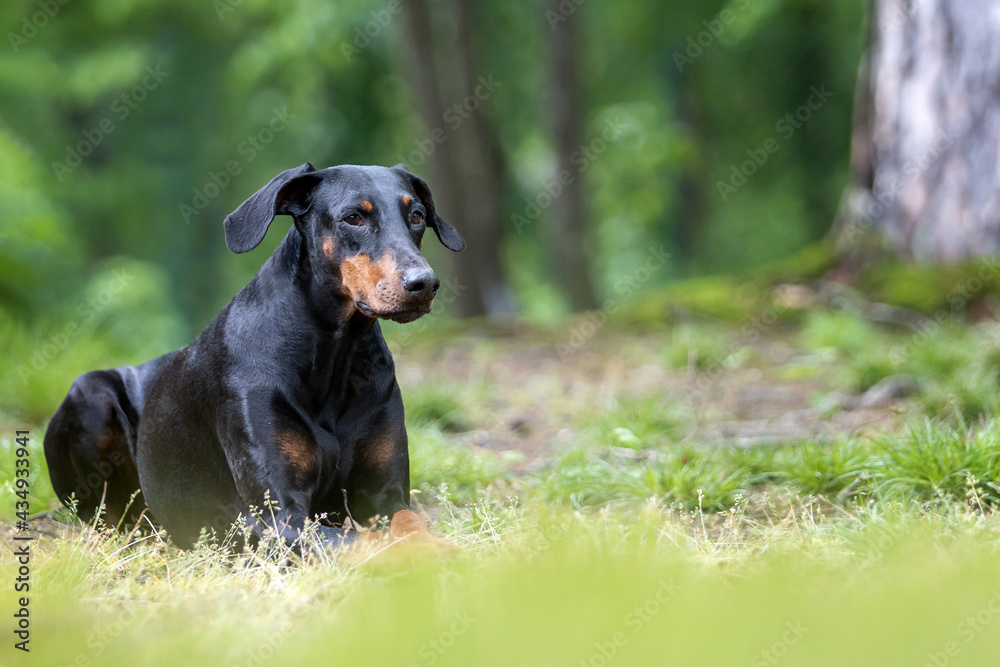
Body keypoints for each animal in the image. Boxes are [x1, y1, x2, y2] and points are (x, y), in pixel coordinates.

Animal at [43, 162, 464, 548]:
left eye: (417, 216)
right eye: (354, 218)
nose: (424, 284)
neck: (334, 355)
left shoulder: (385, 496)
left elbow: (410, 524)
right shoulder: (276, 514)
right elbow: (366, 543)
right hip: (90, 394)